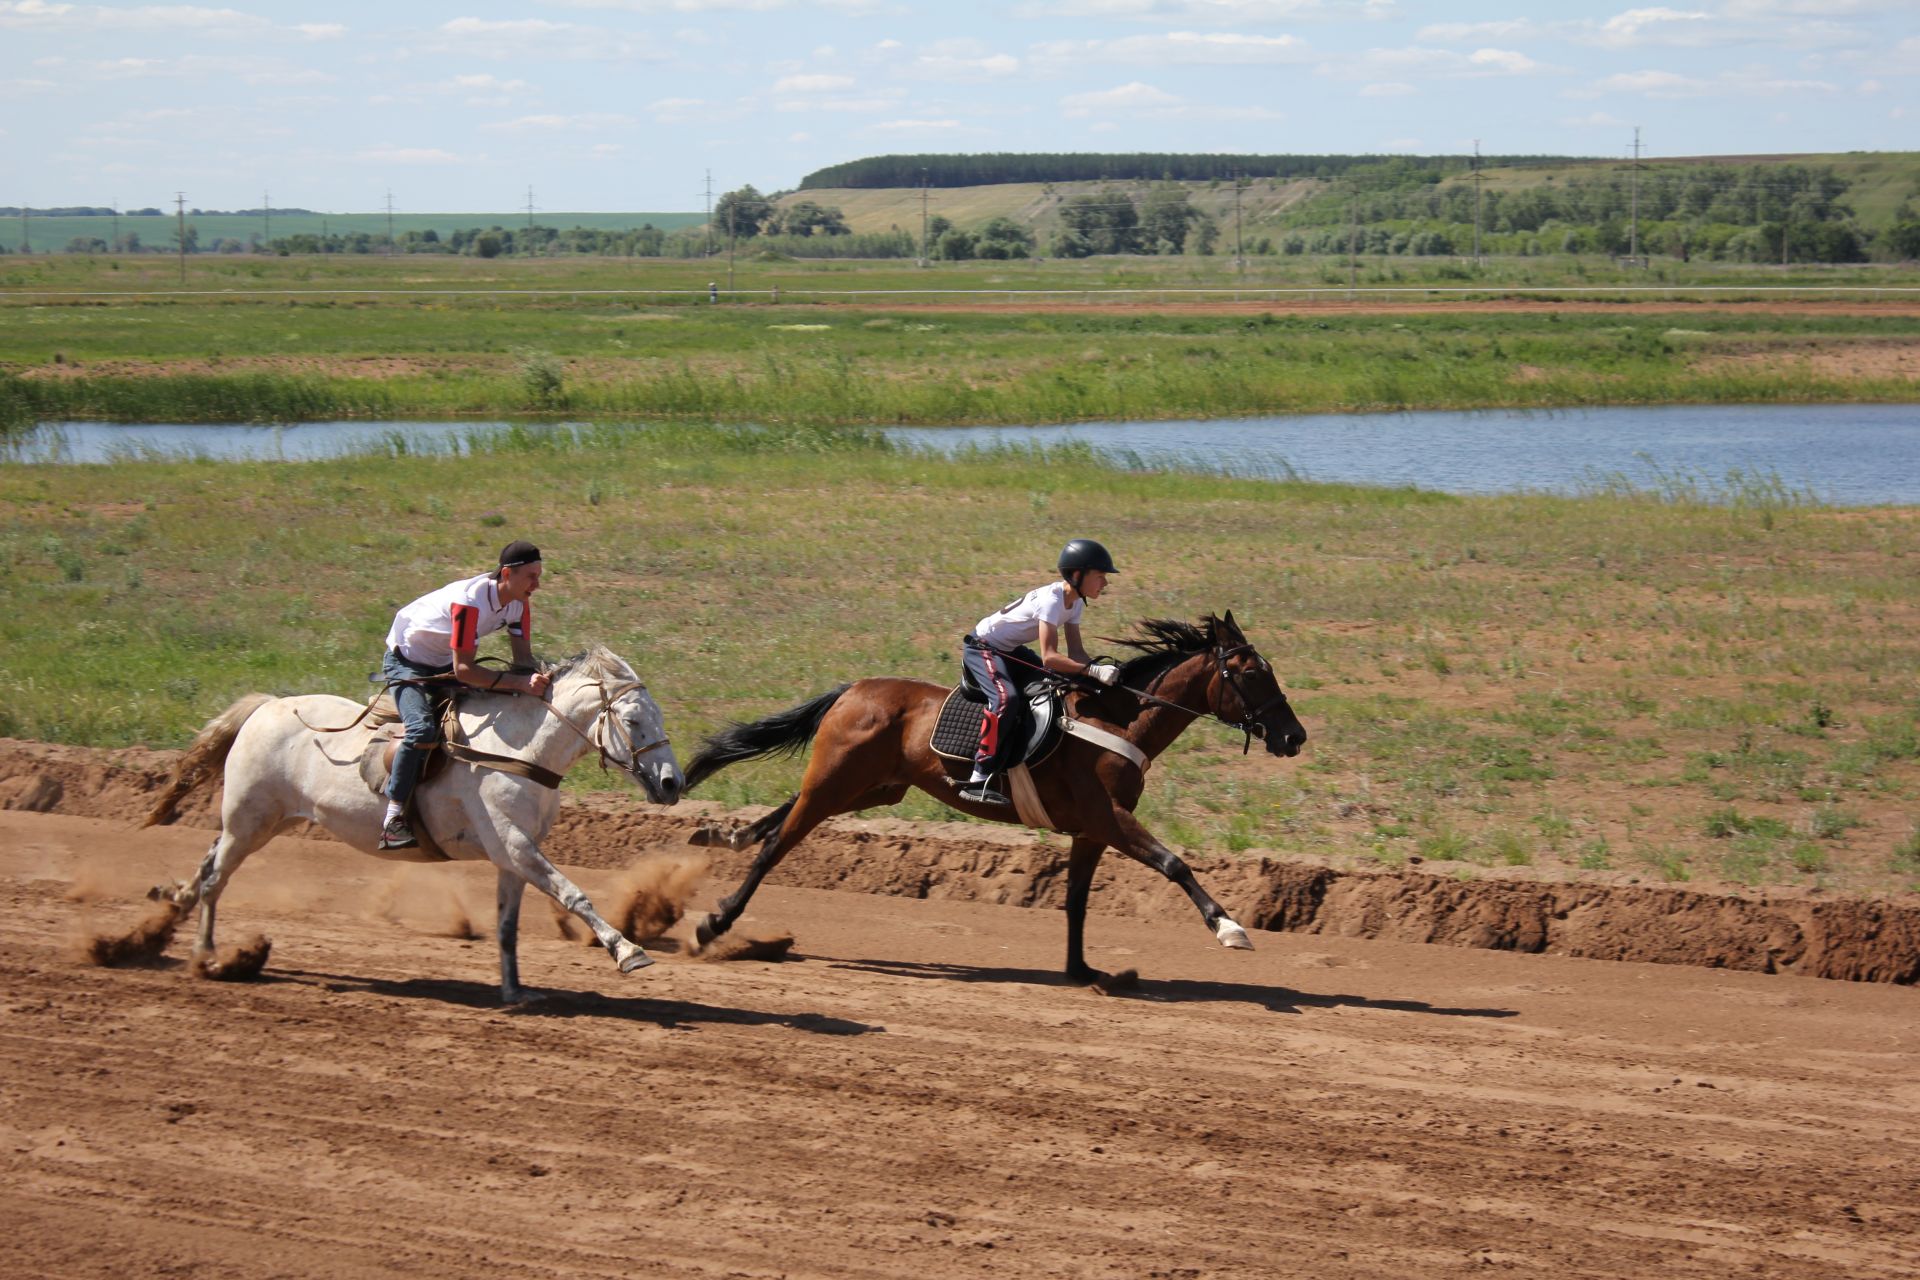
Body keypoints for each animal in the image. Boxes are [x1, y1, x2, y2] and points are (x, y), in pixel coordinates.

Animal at [151, 652, 691, 997]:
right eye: (633, 720)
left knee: (208, 866)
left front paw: (515, 990)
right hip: (250, 820)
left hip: (261, 822)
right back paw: (206, 955)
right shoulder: (516, 846)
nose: (672, 783)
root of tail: (264, 706)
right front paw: (627, 950)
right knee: (216, 880)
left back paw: (172, 905)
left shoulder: (512, 856)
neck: (518, 752)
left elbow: (507, 925)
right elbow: (574, 894)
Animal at [687, 614, 1305, 990]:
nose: (1294, 736)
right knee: (778, 843)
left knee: (783, 817)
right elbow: (1174, 863)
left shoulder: (1090, 831)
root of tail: (853, 690)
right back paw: (716, 921)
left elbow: (1076, 902)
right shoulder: (1109, 817)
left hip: (872, 787)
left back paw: (726, 834)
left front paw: (1081, 970)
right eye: (1253, 672)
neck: (1119, 718)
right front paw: (1228, 926)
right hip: (838, 782)